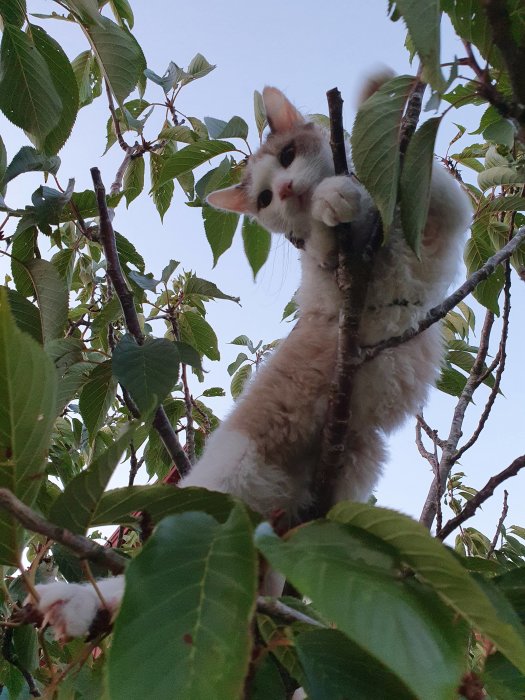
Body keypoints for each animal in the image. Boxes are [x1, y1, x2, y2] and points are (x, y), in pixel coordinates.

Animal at [28, 83, 470, 640]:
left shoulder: (436, 235)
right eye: (263, 200)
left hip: (347, 469)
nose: (287, 191)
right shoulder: (329, 290)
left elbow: (438, 187)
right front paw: (334, 199)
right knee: (144, 579)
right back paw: (77, 603)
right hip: (227, 481)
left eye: (288, 157)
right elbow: (327, 239)